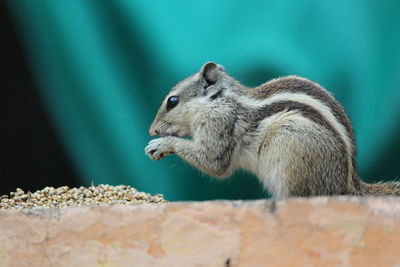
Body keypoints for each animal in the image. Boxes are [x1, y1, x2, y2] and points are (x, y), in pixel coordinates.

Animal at [145, 61, 398, 198]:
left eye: (172, 101)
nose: (152, 131)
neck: (220, 102)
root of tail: (348, 187)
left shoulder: (219, 124)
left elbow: (213, 161)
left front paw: (161, 144)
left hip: (291, 148)